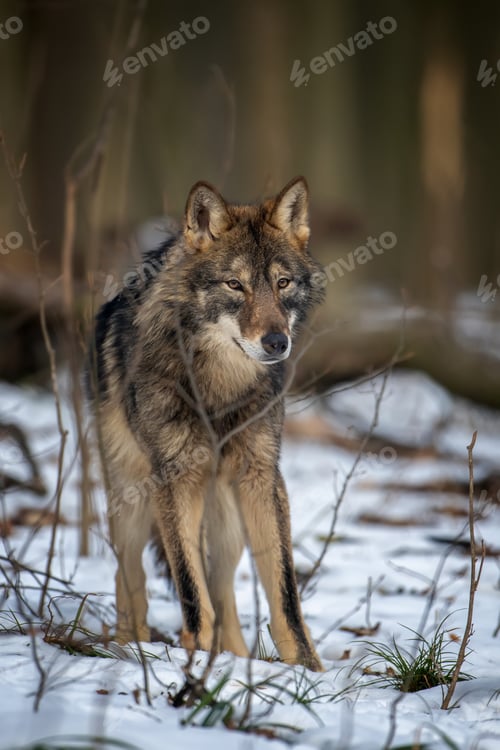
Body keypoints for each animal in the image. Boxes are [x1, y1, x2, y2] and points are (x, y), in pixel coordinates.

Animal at [86, 177, 324, 671]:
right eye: (235, 285)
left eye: (282, 283)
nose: (277, 342)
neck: (218, 388)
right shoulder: (173, 480)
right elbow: (191, 594)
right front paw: (191, 659)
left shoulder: (262, 476)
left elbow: (285, 595)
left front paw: (309, 669)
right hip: (133, 503)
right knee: (131, 576)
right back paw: (130, 648)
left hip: (227, 521)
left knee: (223, 590)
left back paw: (233, 659)